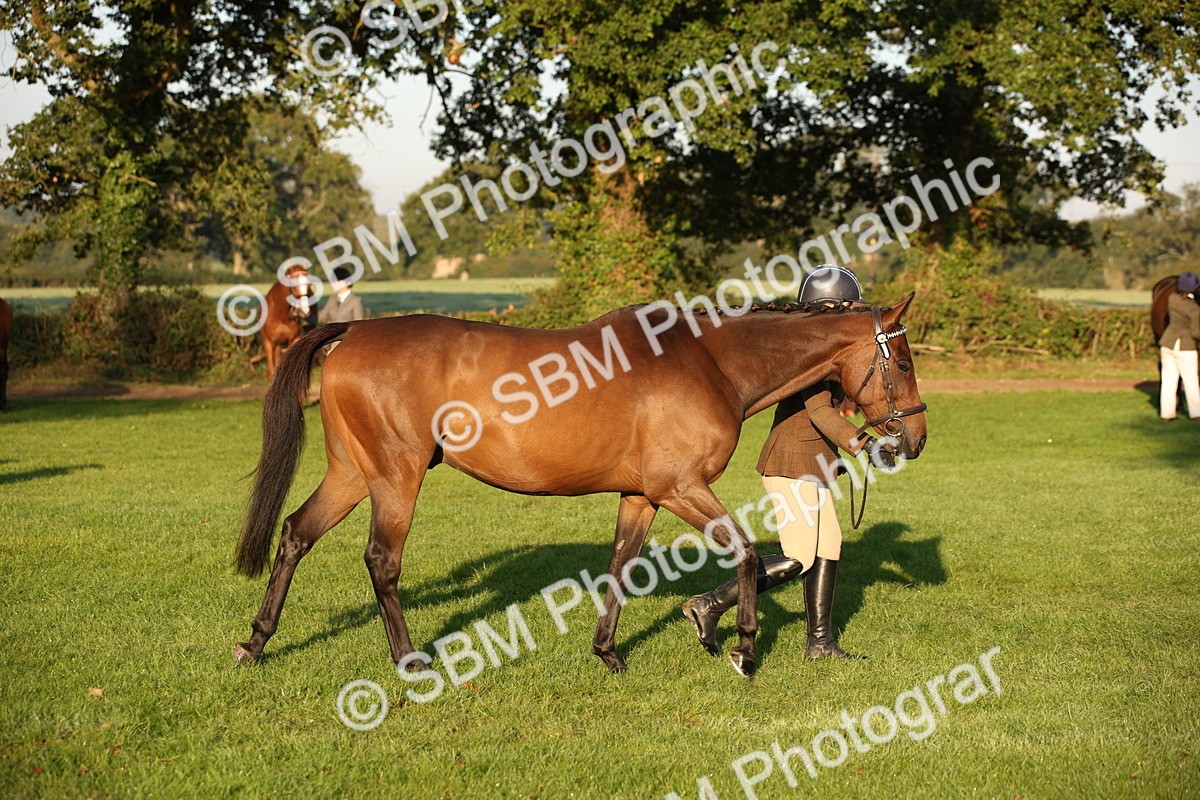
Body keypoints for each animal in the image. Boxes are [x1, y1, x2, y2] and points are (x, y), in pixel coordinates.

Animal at [233, 294, 928, 678]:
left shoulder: (642, 496)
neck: (709, 361)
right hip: (395, 478)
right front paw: (739, 648)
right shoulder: (681, 488)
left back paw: (255, 642)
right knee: (381, 559)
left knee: (295, 535)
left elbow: (620, 567)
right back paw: (407, 659)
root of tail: (353, 332)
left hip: (353, 473)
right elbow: (749, 555)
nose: (915, 439)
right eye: (904, 359)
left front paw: (609, 652)